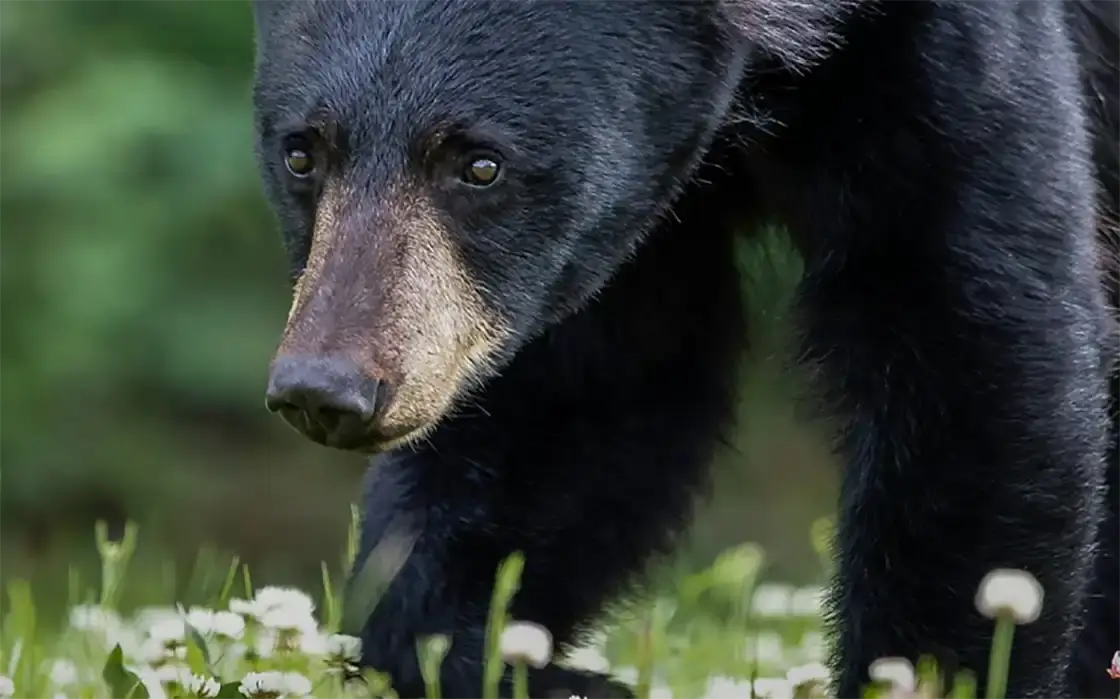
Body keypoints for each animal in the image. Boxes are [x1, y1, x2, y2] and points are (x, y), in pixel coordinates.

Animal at [254, 0, 1120, 694]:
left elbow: (974, 347)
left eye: (480, 164)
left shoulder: (941, 63)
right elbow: (584, 399)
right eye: (302, 153)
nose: (326, 390)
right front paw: (516, 663)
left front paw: (930, 670)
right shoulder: (627, 218)